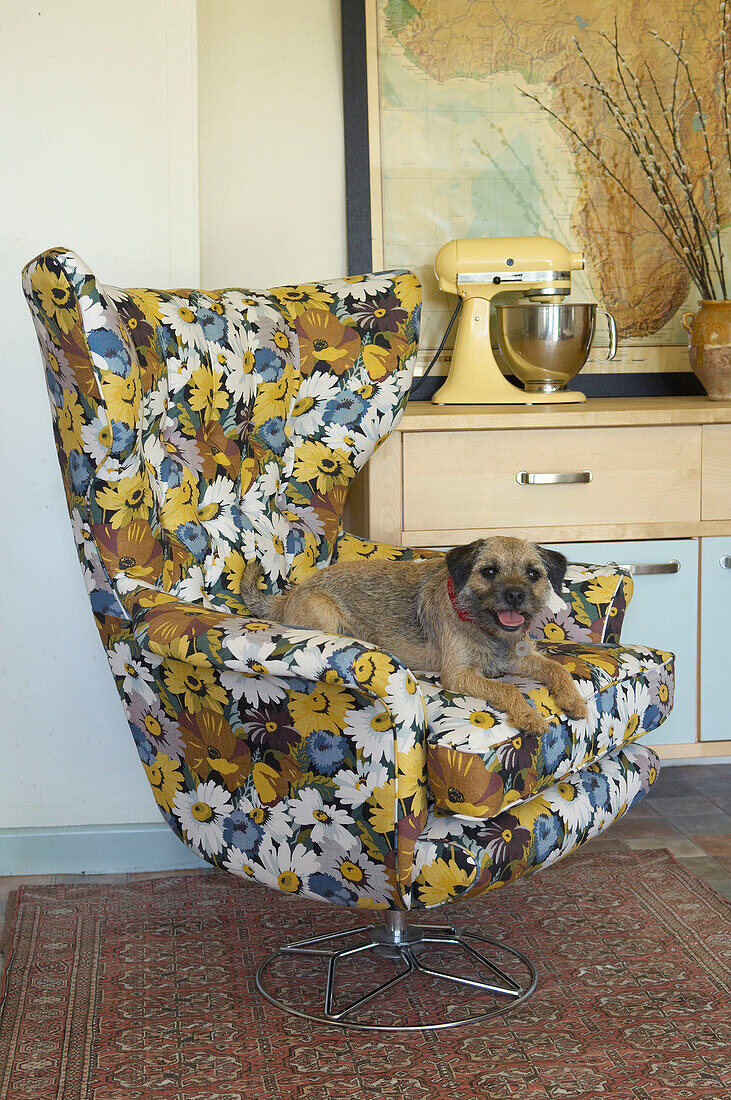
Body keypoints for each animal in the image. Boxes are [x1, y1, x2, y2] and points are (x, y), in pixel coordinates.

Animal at [239, 534, 589, 730]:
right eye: (489, 572)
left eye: (533, 574)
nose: (515, 594)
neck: (485, 627)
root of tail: (285, 598)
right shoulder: (459, 675)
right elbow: (507, 690)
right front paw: (529, 717)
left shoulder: (520, 658)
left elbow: (558, 669)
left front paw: (573, 699)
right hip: (323, 612)